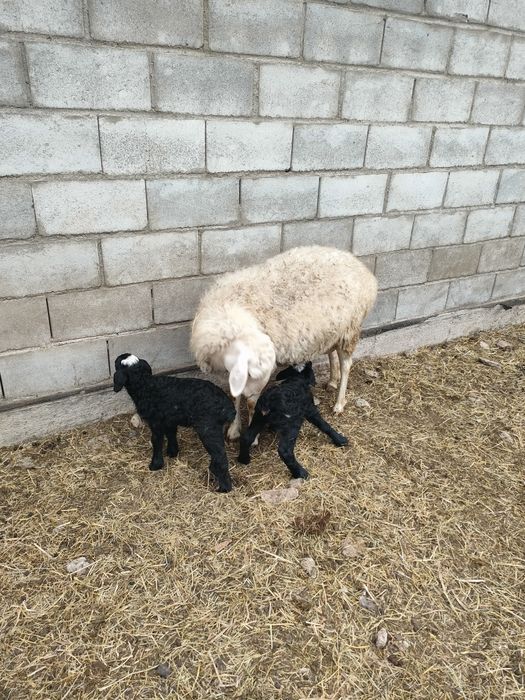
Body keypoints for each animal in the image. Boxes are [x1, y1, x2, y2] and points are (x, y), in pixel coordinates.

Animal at [113, 353, 236, 493]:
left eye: (116, 364)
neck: (145, 384)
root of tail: (228, 407)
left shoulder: (155, 421)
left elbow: (156, 440)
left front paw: (155, 464)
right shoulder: (169, 419)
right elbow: (171, 434)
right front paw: (172, 453)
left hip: (208, 428)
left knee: (220, 456)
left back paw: (224, 488)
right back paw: (213, 471)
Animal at [190, 245, 377, 440]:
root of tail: (359, 265)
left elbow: (250, 402)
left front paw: (252, 435)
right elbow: (235, 397)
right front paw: (234, 428)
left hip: (350, 329)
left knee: (346, 364)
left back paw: (339, 403)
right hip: (332, 330)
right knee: (332, 353)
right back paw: (333, 381)